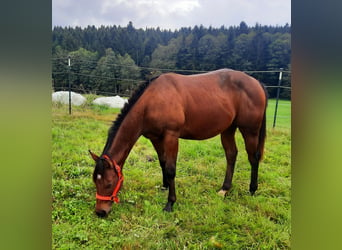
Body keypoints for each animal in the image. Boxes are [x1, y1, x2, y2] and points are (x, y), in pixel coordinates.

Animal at [89, 68, 268, 217]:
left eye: (109, 183)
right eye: (95, 181)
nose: (100, 212)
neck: (152, 101)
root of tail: (256, 82)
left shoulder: (171, 136)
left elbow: (170, 169)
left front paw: (170, 203)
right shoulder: (155, 137)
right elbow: (162, 162)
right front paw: (164, 186)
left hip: (250, 130)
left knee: (253, 158)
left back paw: (252, 189)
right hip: (228, 129)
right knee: (231, 155)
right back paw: (224, 189)